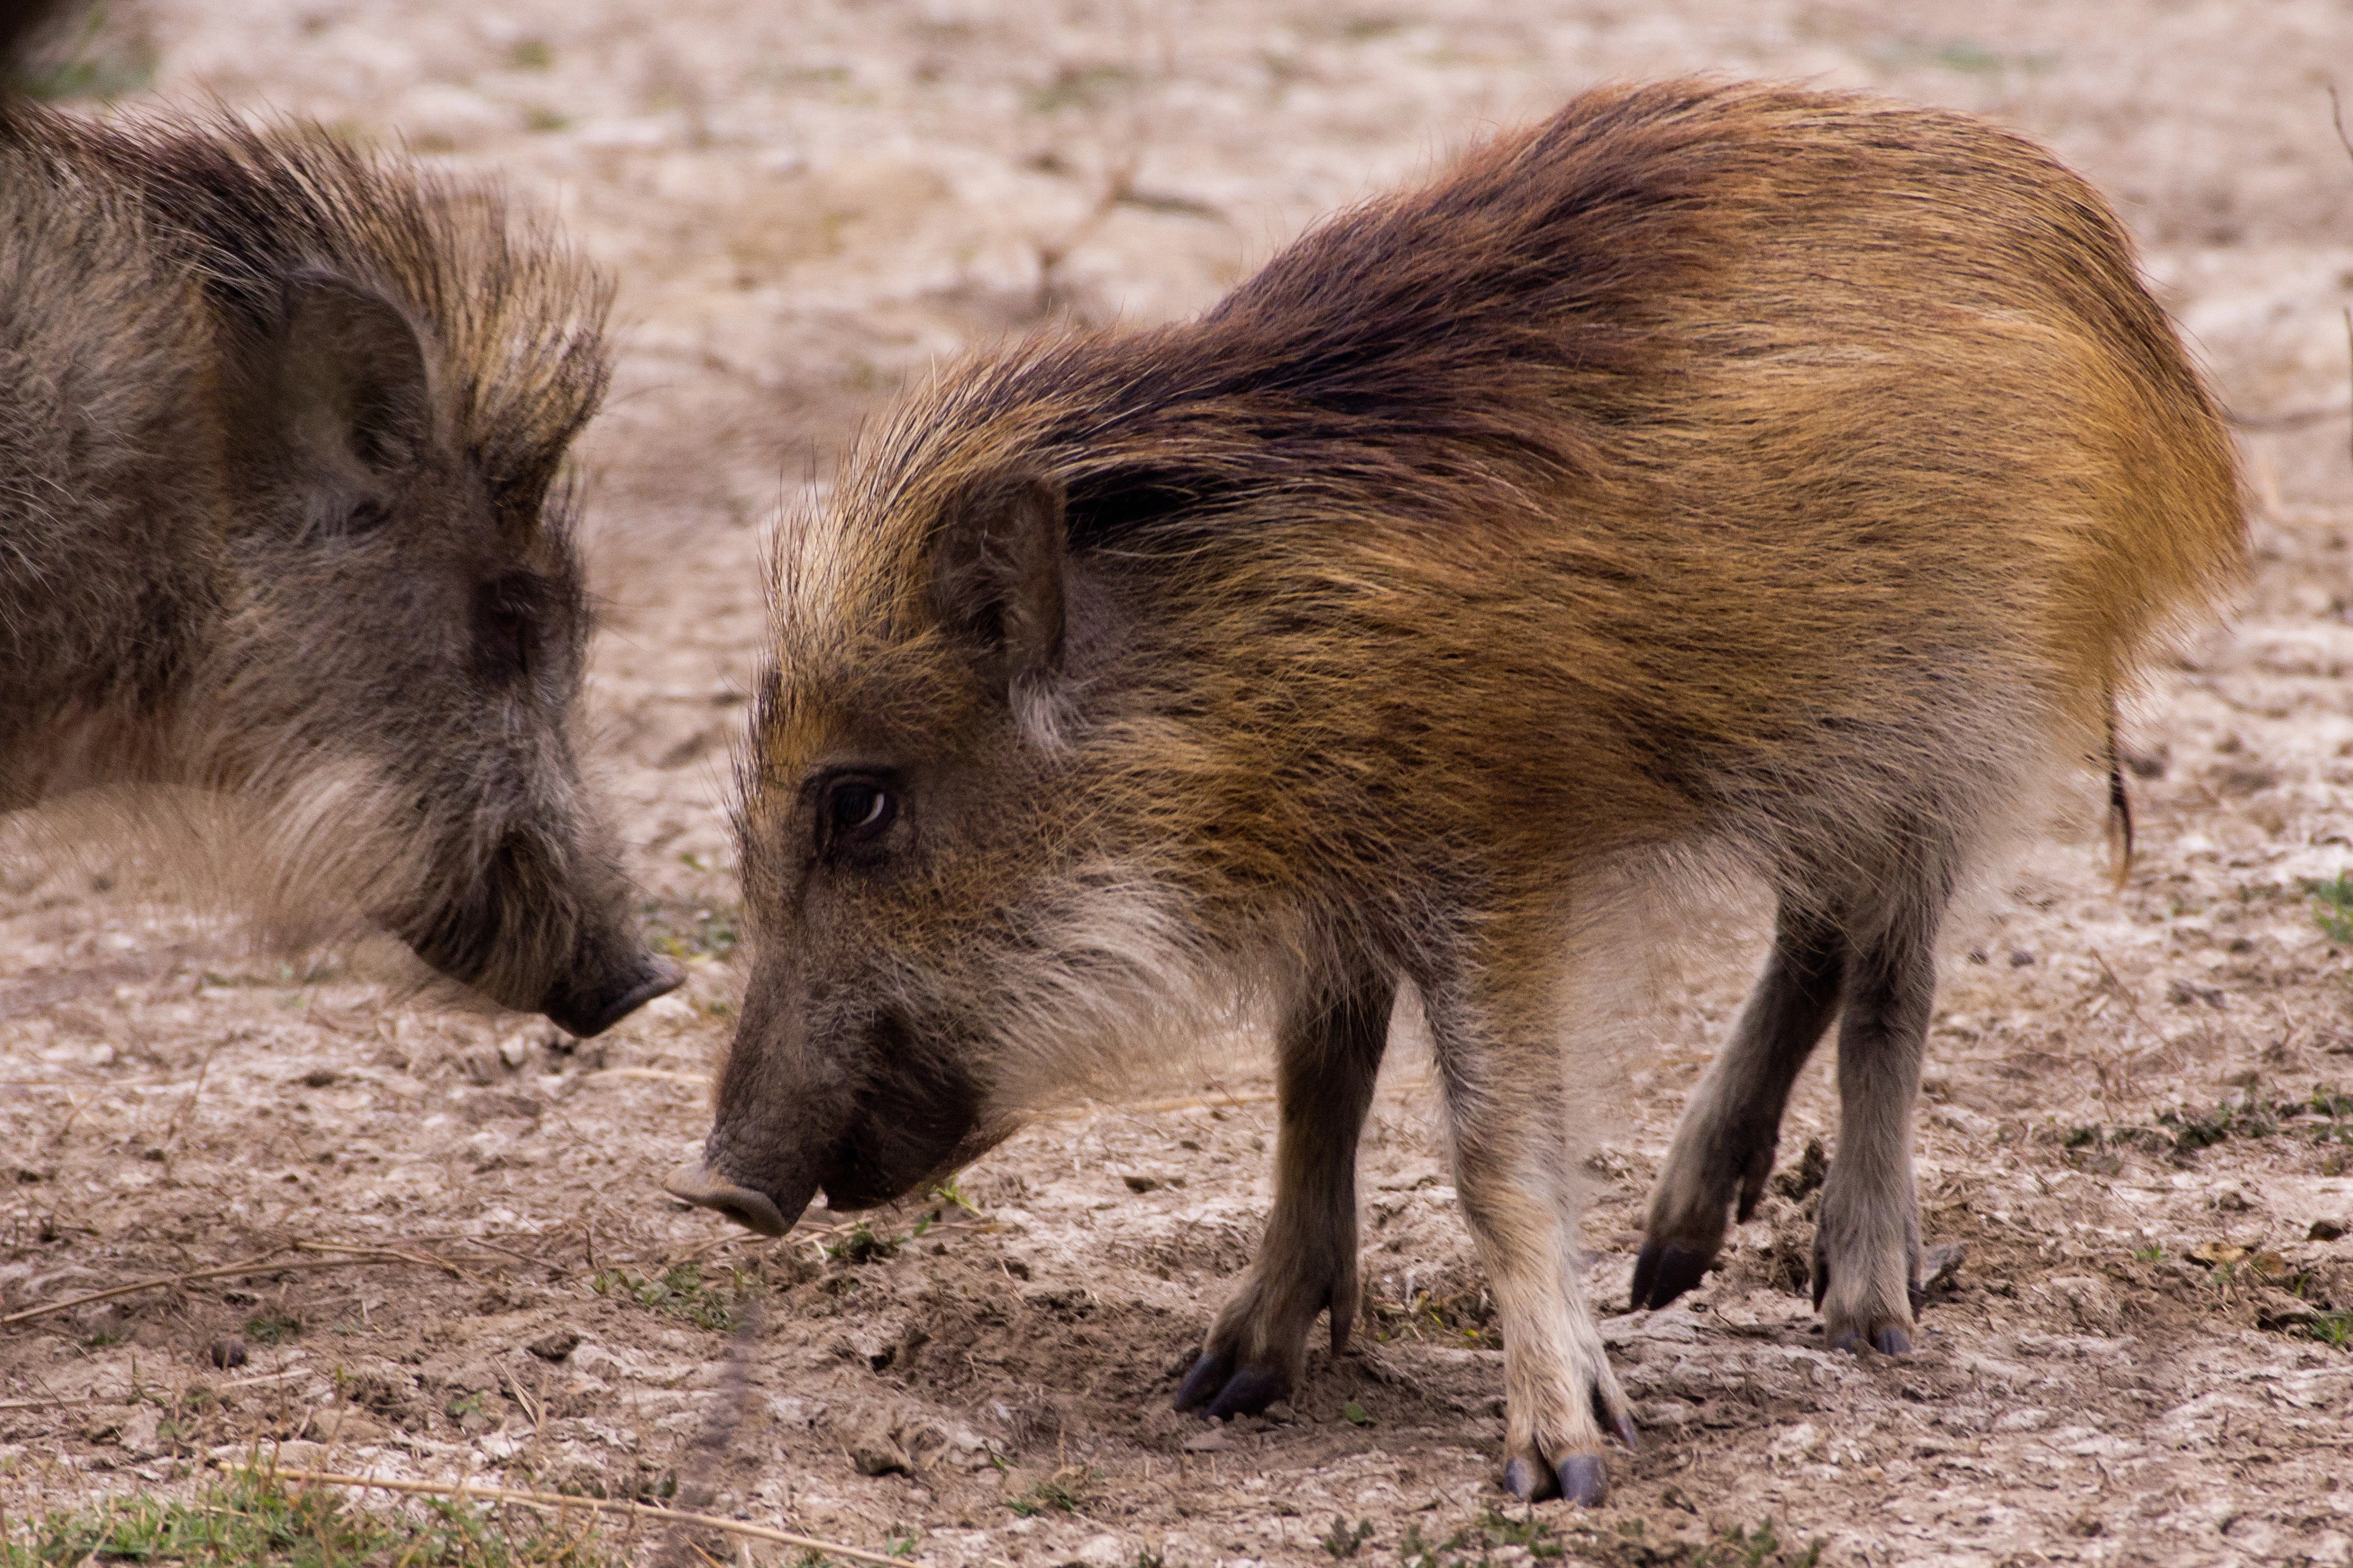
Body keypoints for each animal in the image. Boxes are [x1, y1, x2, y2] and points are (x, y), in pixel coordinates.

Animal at [668, 80, 2244, 1500]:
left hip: (1950, 731)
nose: (715, 1187)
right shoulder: (1333, 894)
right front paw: (1225, 1376)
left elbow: (1493, 1144)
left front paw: (1562, 1461)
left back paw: (1866, 1314)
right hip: (1814, 755)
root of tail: (2110, 275)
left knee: (1890, 978)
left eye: (858, 803)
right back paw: (1671, 1262)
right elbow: (1315, 1093)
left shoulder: (1493, 871)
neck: (1237, 670)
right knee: (1812, 933)